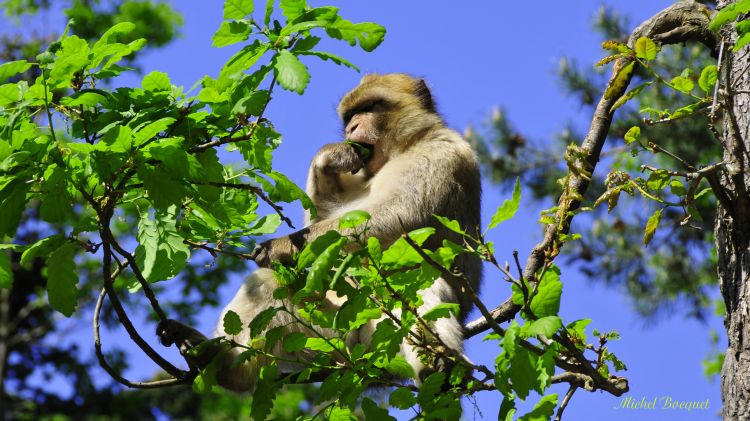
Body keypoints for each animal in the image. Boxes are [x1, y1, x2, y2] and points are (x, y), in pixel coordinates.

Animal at [159, 72, 484, 390]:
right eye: (350, 116)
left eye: (369, 107)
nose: (352, 127)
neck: (404, 147)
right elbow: (318, 224)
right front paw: (328, 159)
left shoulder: (442, 153)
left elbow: (401, 214)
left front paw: (280, 246)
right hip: (336, 333)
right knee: (268, 282)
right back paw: (225, 365)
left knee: (420, 283)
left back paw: (438, 365)